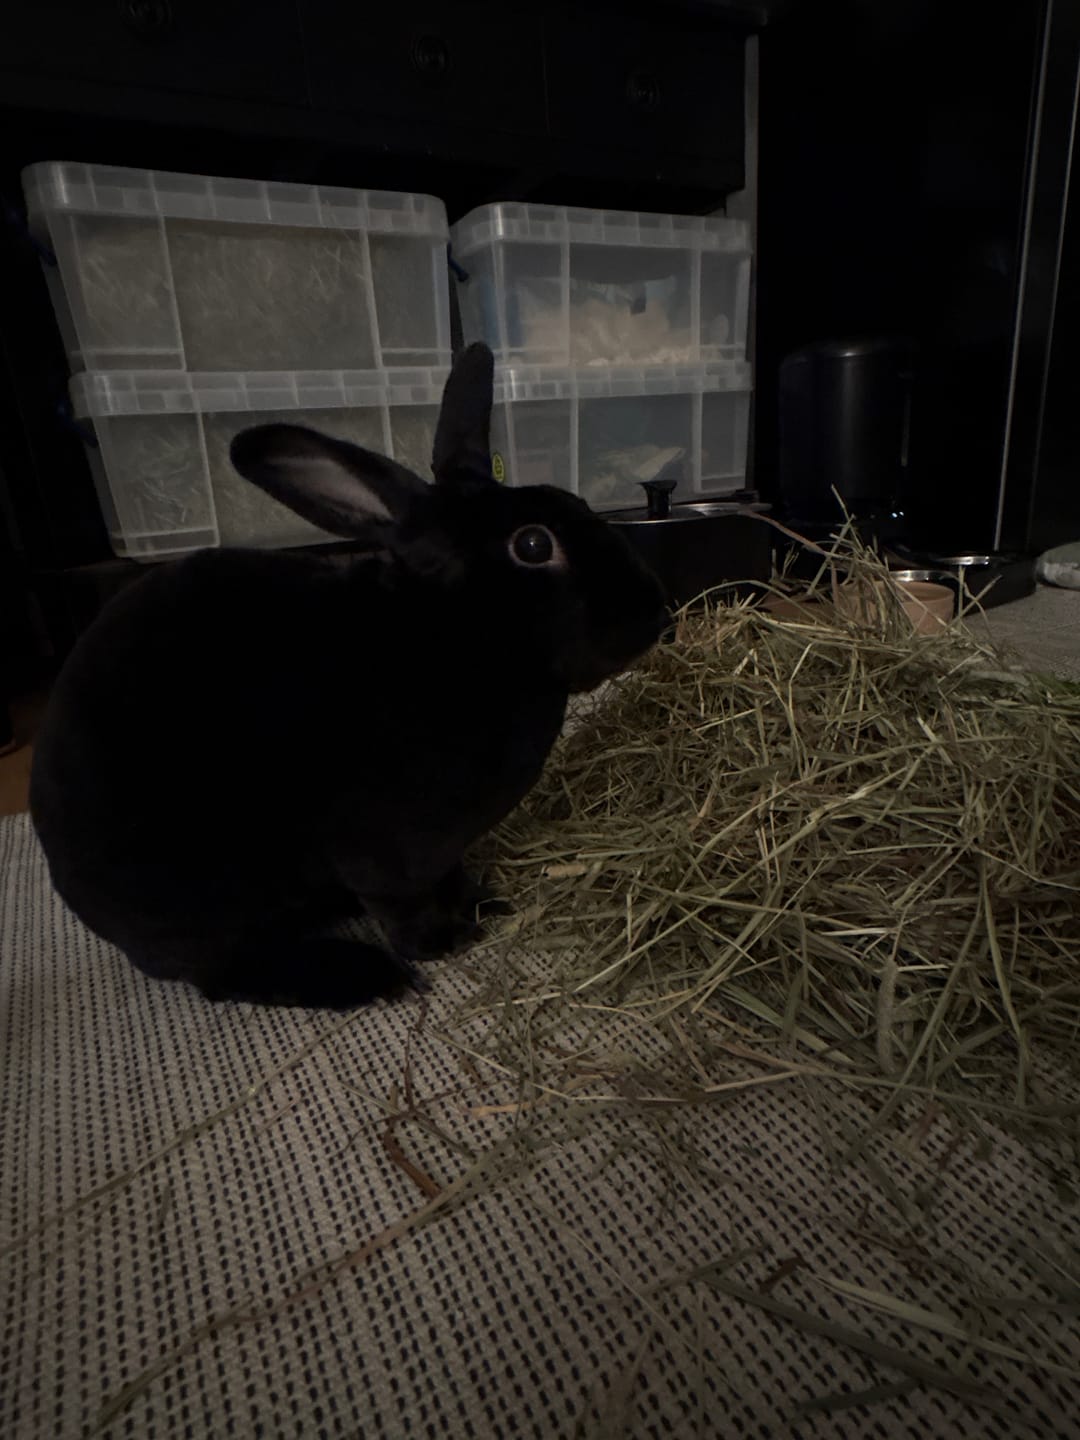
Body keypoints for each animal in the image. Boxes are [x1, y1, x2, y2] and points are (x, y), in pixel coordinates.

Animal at [29, 342, 668, 1010]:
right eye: (535, 546)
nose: (656, 611)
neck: (457, 639)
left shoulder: (443, 849)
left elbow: (452, 877)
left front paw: (482, 904)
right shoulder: (387, 851)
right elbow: (403, 903)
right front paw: (444, 941)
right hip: (199, 899)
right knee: (222, 973)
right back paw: (364, 976)